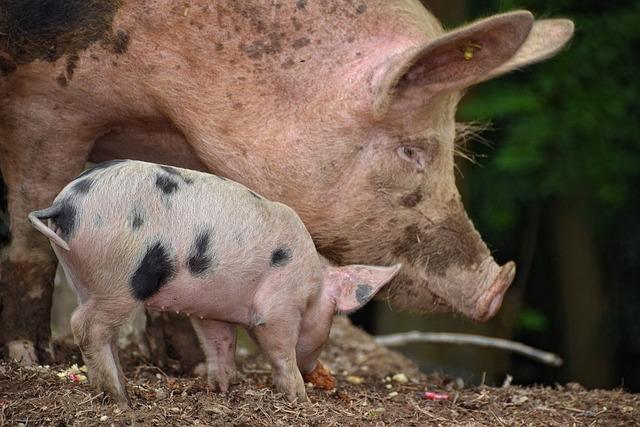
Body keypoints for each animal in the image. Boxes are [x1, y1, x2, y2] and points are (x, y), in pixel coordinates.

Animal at [0, 0, 576, 364]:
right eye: (412, 151)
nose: (497, 286)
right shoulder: (46, 104)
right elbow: (31, 235)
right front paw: (31, 360)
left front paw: (185, 365)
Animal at [30, 160, 400, 404]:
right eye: (333, 319)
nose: (318, 372)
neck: (314, 283)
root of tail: (65, 203)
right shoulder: (279, 306)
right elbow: (280, 348)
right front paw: (299, 398)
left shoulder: (212, 310)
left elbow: (220, 344)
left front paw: (221, 389)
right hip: (120, 279)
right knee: (85, 326)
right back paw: (120, 397)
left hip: (81, 274)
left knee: (98, 329)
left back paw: (120, 387)